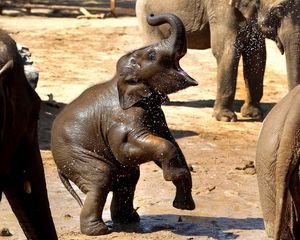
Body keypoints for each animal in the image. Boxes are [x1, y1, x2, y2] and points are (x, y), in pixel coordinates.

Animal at [51, 12, 197, 235]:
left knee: (128, 179)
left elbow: (169, 140)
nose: (151, 15)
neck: (120, 80)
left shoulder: (155, 113)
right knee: (101, 178)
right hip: (75, 156)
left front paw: (184, 203)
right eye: (152, 55)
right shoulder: (122, 117)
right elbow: (126, 147)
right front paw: (175, 177)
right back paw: (99, 231)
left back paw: (128, 221)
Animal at [137, 0, 300, 121]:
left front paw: (253, 114)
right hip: (148, 18)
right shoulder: (220, 7)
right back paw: (162, 101)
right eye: (278, 11)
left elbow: (257, 55)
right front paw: (225, 118)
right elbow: (227, 50)